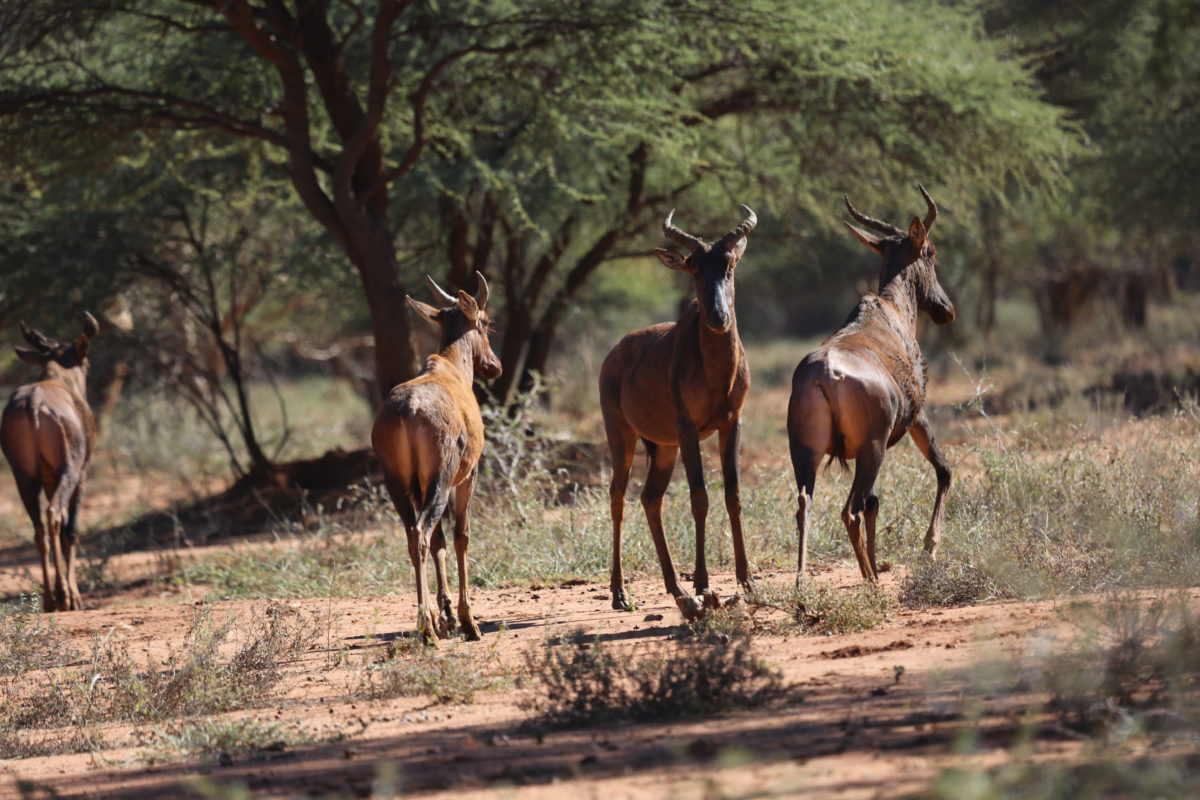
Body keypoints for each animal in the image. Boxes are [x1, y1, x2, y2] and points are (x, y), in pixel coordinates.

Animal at [0, 311, 100, 614]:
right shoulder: (82, 475)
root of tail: (34, 403)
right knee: (55, 516)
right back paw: (64, 596)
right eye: (87, 362)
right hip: (69, 472)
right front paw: (74, 596)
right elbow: (72, 530)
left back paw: (48, 598)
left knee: (39, 528)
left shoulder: (46, 478)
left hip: (24, 478)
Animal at [364, 272, 496, 647]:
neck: (448, 369)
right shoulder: (467, 476)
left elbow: (441, 541)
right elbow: (461, 536)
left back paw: (431, 624)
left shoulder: (420, 485)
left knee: (414, 536)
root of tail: (408, 409)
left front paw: (448, 615)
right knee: (423, 534)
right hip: (439, 482)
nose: (494, 367)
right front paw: (467, 621)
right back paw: (426, 629)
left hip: (399, 486)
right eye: (486, 323)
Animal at [600, 205, 758, 618]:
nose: (718, 317)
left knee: (650, 499)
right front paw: (703, 583)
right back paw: (620, 594)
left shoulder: (732, 424)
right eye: (694, 269)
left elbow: (733, 495)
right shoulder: (688, 429)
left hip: (664, 447)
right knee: (618, 497)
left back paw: (674, 587)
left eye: (729, 265)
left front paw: (747, 581)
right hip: (623, 436)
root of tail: (615, 353)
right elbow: (699, 498)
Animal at [787, 183, 955, 582]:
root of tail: (826, 374)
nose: (946, 310)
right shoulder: (915, 417)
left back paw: (802, 580)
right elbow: (943, 470)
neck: (887, 310)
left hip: (806, 451)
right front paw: (930, 546)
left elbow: (877, 502)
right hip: (872, 450)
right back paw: (870, 580)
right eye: (931, 252)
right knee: (851, 509)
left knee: (806, 504)